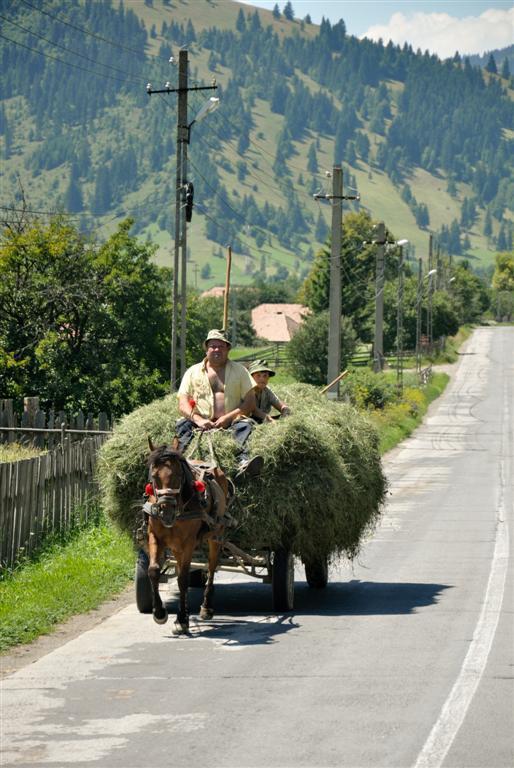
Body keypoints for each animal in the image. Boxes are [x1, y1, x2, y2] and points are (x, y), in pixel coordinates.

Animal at [143, 438, 229, 636]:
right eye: (154, 476)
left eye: (178, 474)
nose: (166, 511)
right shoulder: (155, 537)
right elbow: (153, 570)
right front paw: (159, 612)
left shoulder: (188, 543)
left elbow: (183, 579)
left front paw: (182, 619)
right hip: (175, 546)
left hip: (216, 535)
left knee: (211, 568)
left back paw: (206, 607)